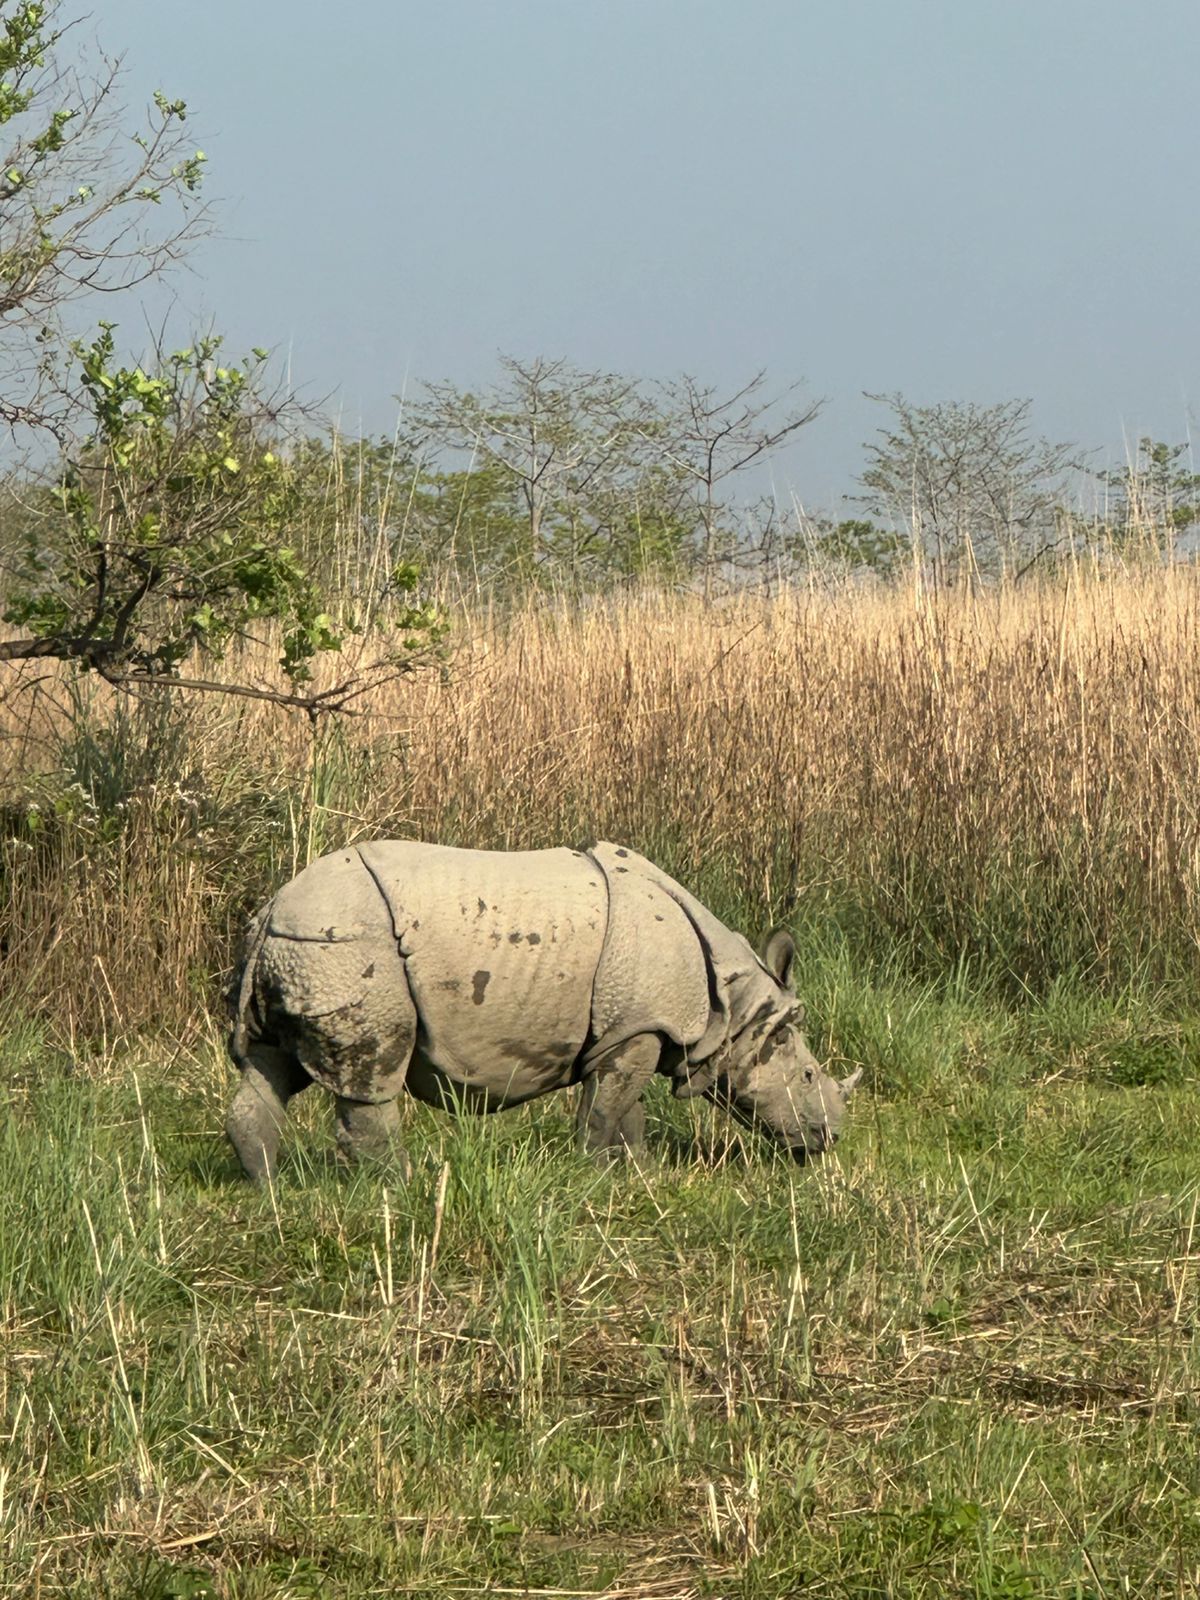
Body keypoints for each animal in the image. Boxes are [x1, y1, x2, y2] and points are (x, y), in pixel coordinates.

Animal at [225, 840, 861, 1180]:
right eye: (809, 1075)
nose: (828, 1139)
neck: (734, 1004)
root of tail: (270, 909)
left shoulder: (628, 1029)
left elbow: (625, 1109)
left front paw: (640, 1173)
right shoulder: (638, 1027)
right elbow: (605, 1111)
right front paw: (597, 1175)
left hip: (304, 948)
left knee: (270, 1064)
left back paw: (268, 1188)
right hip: (348, 945)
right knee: (372, 1076)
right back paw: (401, 1187)